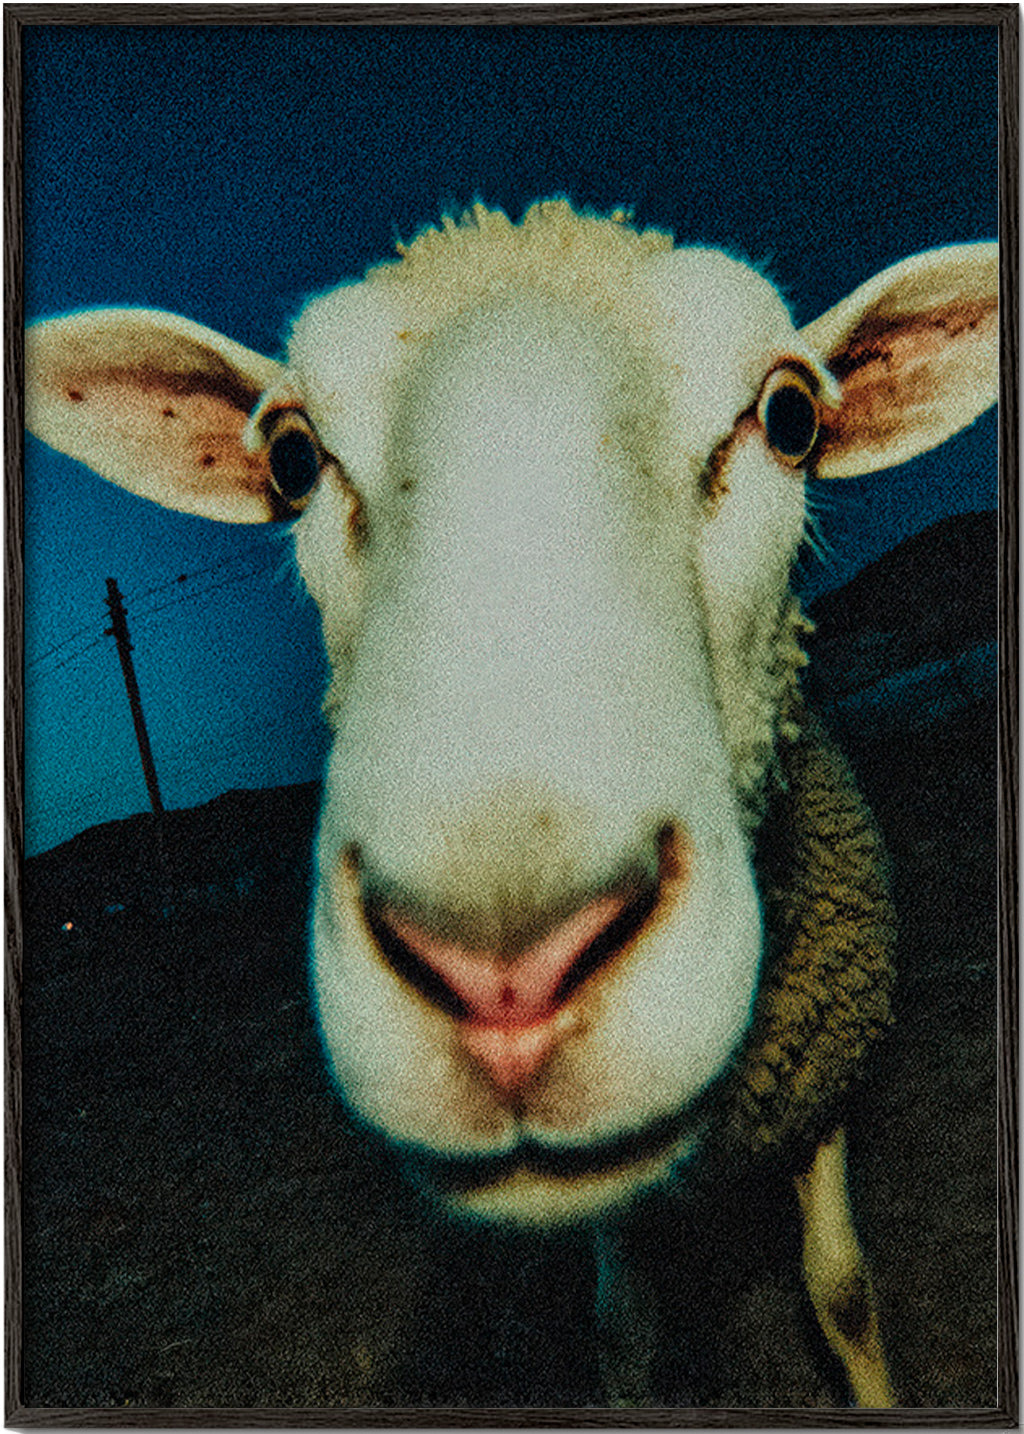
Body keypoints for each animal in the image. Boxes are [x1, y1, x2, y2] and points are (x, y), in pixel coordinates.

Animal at [25, 200, 997, 1407]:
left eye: (789, 418)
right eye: (293, 460)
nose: (505, 978)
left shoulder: (826, 1084)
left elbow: (843, 1290)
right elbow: (622, 1330)